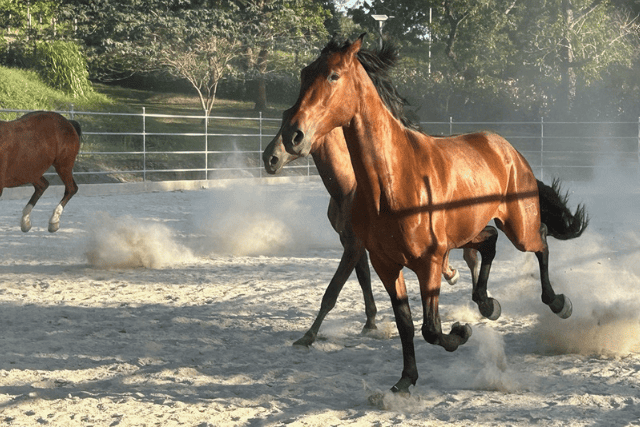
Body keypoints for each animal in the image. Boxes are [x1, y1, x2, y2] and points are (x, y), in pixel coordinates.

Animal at [278, 36, 588, 394]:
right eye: (304, 73)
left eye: (333, 75)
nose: (293, 135)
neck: (392, 182)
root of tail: (509, 150)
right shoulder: (386, 265)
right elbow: (406, 325)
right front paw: (405, 380)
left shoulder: (429, 263)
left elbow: (431, 328)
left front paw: (461, 332)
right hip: (469, 230)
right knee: (491, 241)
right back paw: (488, 304)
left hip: (519, 227)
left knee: (540, 243)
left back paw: (558, 303)